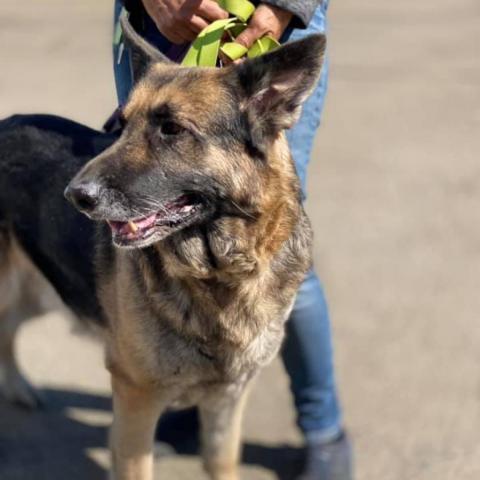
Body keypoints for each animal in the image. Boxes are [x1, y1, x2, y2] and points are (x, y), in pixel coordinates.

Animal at [0, 17, 324, 480]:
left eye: (171, 130)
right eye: (123, 127)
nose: (75, 196)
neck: (218, 273)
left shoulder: (227, 401)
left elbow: (222, 463)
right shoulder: (136, 400)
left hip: (36, 290)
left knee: (8, 327)